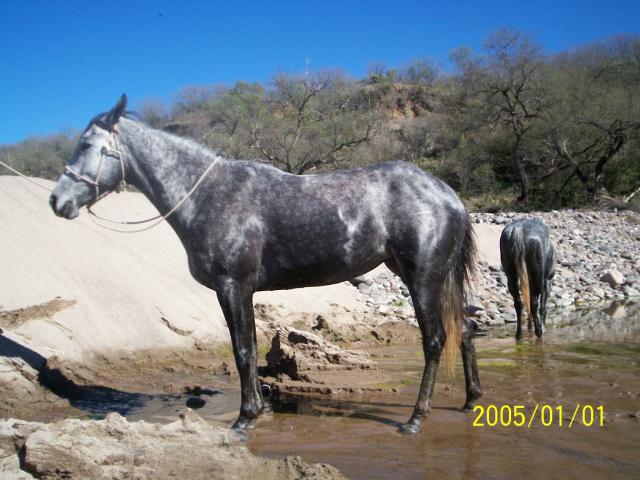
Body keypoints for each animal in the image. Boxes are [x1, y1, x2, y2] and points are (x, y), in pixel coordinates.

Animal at [48, 95, 480, 434]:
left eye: (86, 144)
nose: (57, 200)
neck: (209, 195)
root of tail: (448, 195)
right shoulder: (241, 290)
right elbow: (249, 349)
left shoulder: (233, 286)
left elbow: (243, 351)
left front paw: (245, 418)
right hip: (426, 276)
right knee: (466, 330)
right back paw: (471, 399)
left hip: (422, 278)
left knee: (435, 341)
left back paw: (415, 419)